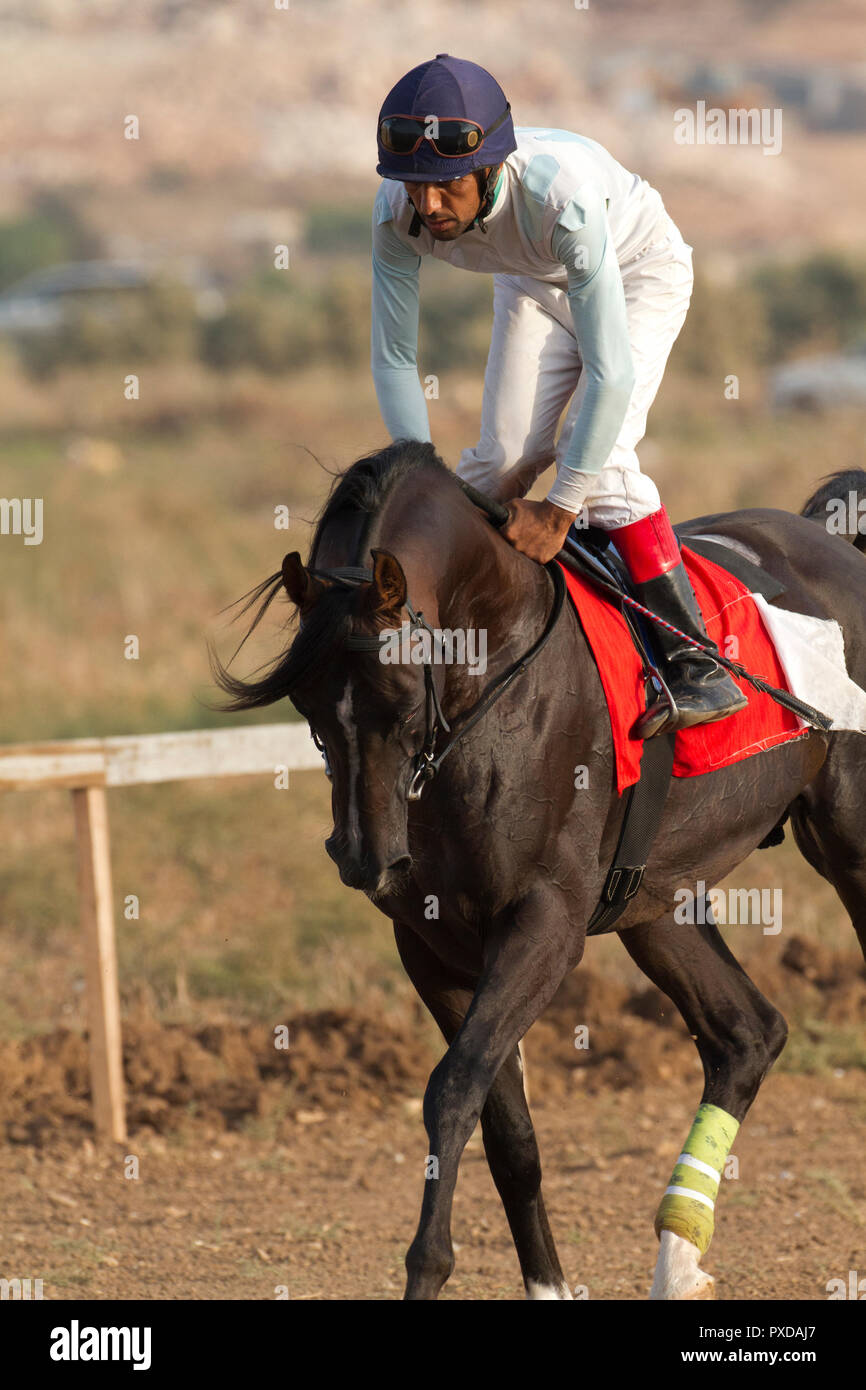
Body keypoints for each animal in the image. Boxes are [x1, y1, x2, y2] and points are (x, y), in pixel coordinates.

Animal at [212, 442, 866, 1300]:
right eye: (311, 708)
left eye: (398, 697)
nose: (363, 856)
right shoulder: (433, 945)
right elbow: (507, 1129)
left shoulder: (545, 923)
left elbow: (453, 1088)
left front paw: (428, 1266)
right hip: (656, 904)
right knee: (746, 1035)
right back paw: (678, 1255)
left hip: (852, 846)